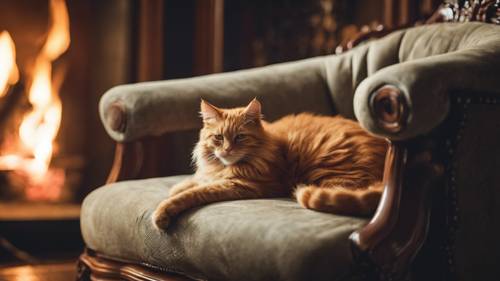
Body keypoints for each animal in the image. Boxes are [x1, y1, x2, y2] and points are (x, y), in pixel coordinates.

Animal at [152, 97, 386, 229]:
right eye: (218, 138)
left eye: (240, 138)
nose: (227, 150)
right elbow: (192, 183)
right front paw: (178, 186)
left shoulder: (243, 186)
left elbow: (193, 193)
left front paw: (163, 212)